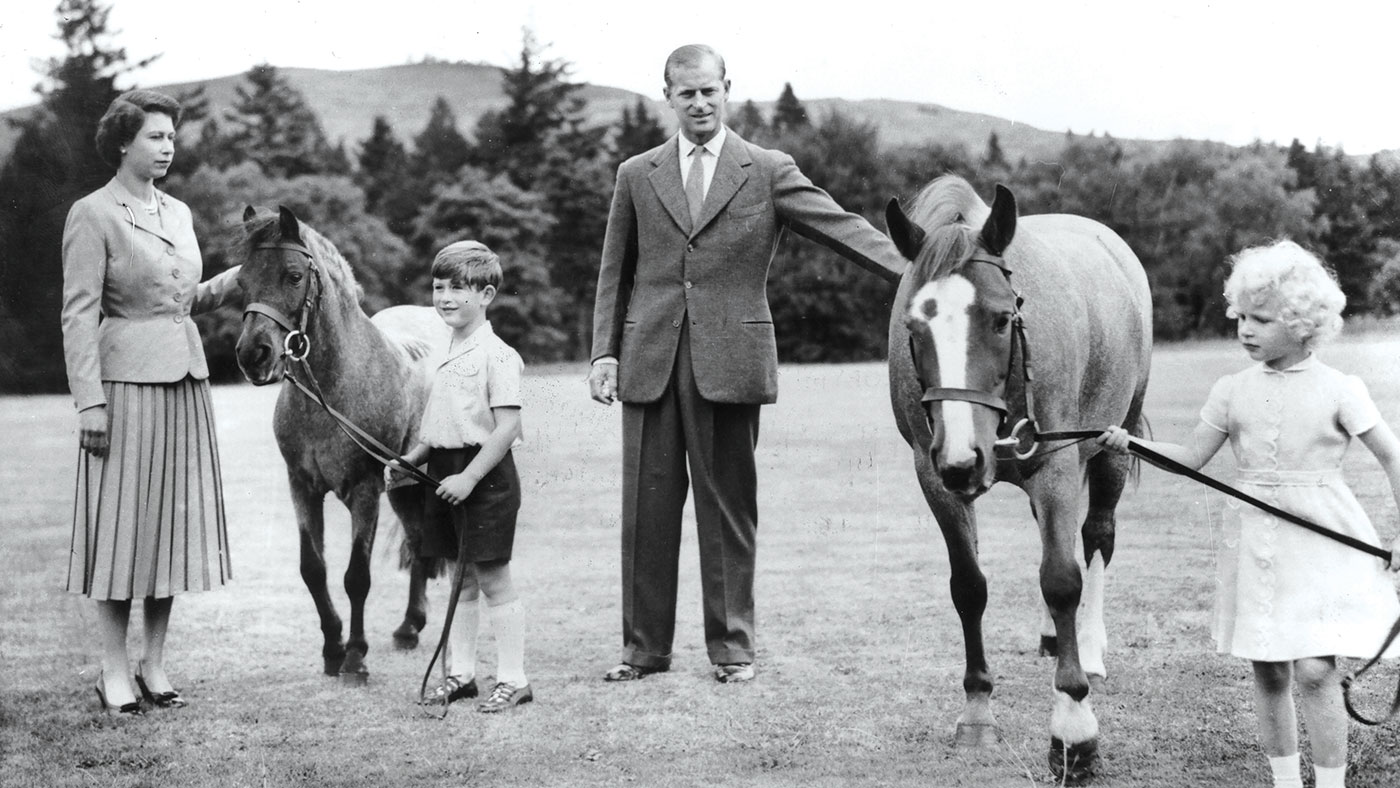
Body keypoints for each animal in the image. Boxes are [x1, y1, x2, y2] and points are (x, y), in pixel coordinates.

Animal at [235, 205, 439, 685]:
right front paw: (332, 649)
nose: (253, 355)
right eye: (240, 281)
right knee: (418, 541)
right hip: (403, 486)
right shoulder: (302, 488)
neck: (331, 389)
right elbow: (314, 569)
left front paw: (355, 658)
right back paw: (409, 628)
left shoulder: (364, 491)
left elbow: (356, 576)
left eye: (293, 275)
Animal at [884, 174, 1148, 783]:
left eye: (1001, 319)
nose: (963, 458)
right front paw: (977, 711)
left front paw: (1073, 729)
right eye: (914, 326)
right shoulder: (933, 476)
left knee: (1096, 537)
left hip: (1112, 441)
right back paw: (1056, 635)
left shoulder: (1056, 466)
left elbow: (1062, 579)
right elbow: (968, 586)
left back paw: (1087, 647)